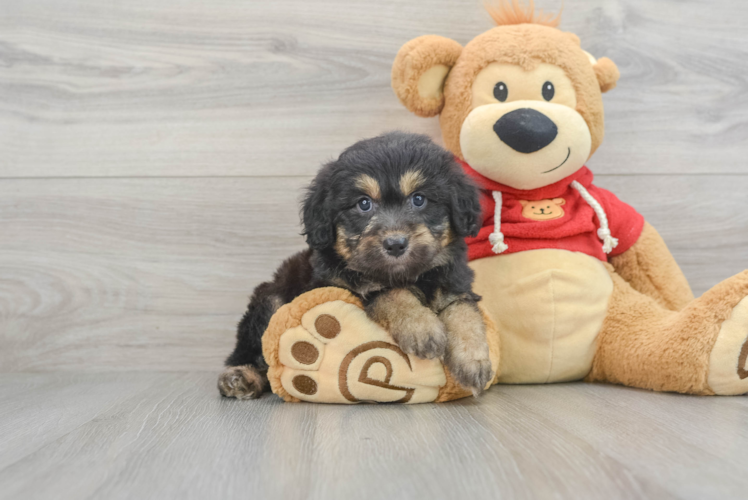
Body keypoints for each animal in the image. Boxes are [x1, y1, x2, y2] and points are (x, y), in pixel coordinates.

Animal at [219, 132, 494, 398]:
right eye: (364, 203)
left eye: (419, 199)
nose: (395, 244)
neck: (411, 276)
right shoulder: (336, 287)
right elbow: (390, 293)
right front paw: (420, 327)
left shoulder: (455, 284)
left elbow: (464, 312)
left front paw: (474, 361)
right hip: (271, 300)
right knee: (252, 351)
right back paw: (240, 377)